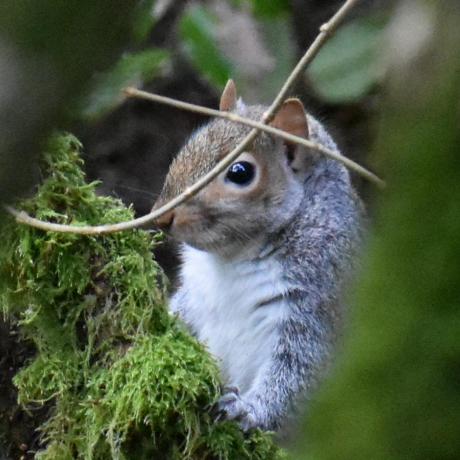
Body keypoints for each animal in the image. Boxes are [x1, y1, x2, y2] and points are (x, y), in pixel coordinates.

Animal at [155, 81, 362, 434]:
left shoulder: (320, 295)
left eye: (240, 172)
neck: (233, 257)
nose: (161, 215)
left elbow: (300, 371)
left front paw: (247, 410)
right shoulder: (195, 293)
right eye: (190, 145)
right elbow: (180, 312)